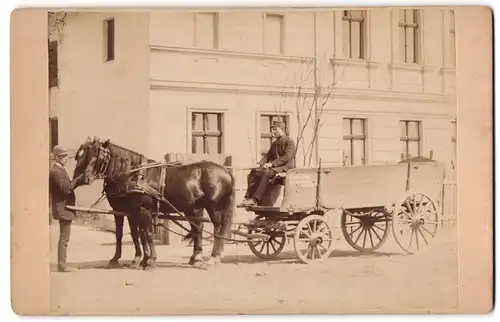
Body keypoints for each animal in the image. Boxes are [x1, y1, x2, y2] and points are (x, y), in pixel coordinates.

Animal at [72, 136, 236, 270]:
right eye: (83, 156)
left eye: (98, 157)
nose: (84, 178)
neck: (133, 175)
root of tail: (226, 172)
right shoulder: (126, 211)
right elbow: (131, 235)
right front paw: (134, 260)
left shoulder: (143, 210)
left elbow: (148, 234)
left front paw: (150, 261)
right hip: (193, 209)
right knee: (198, 229)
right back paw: (196, 258)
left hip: (214, 208)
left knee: (217, 229)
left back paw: (213, 258)